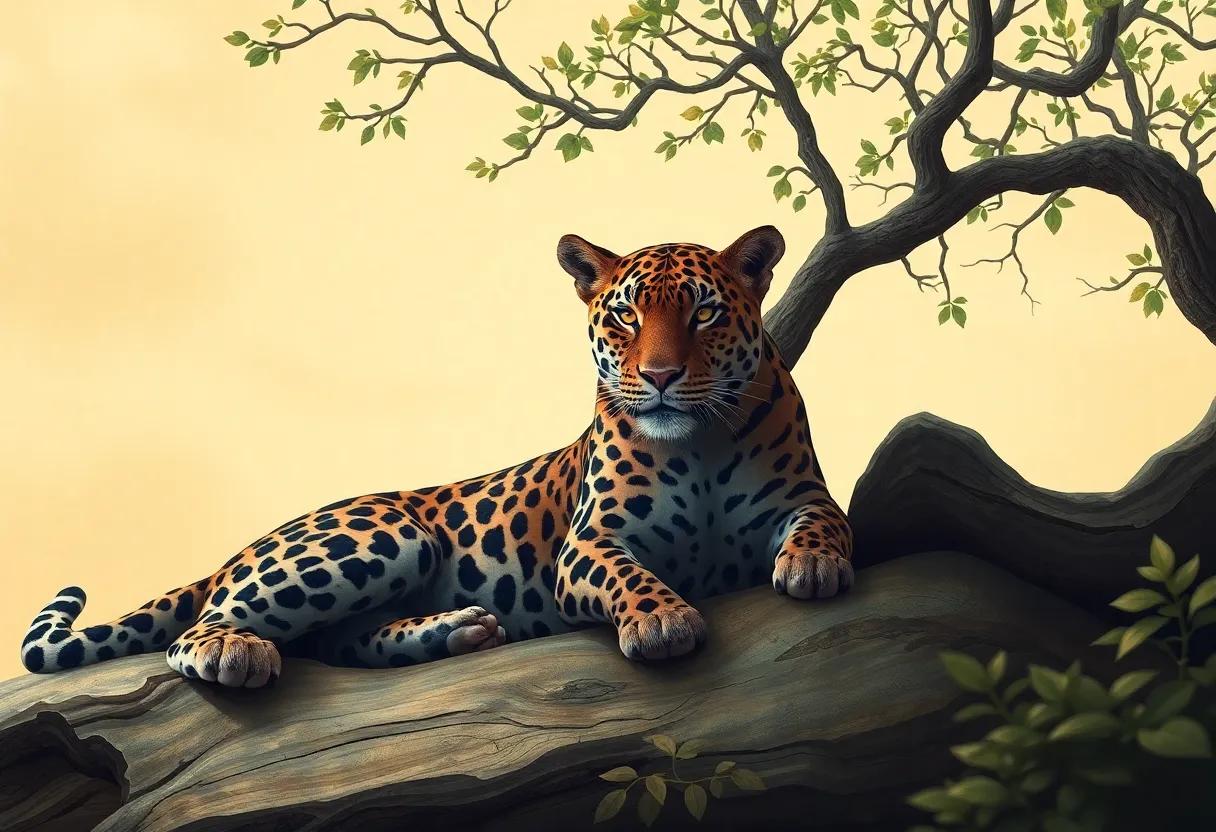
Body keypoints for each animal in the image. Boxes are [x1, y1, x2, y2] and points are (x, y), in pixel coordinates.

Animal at [20, 226, 854, 687]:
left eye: (704, 313)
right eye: (624, 315)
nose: (658, 377)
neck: (699, 447)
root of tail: (240, 548)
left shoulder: (803, 498)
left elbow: (828, 523)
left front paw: (813, 566)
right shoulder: (590, 541)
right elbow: (628, 574)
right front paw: (661, 621)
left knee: (337, 639)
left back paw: (458, 630)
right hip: (385, 538)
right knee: (199, 631)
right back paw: (237, 651)